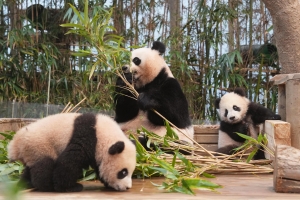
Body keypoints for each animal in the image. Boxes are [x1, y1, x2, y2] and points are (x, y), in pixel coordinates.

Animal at [7, 112, 136, 192]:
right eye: (123, 172)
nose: (127, 187)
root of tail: (15, 144)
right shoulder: (86, 137)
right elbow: (70, 161)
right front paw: (69, 187)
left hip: (31, 151)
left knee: (30, 168)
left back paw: (25, 184)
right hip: (39, 145)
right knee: (44, 165)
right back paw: (47, 186)